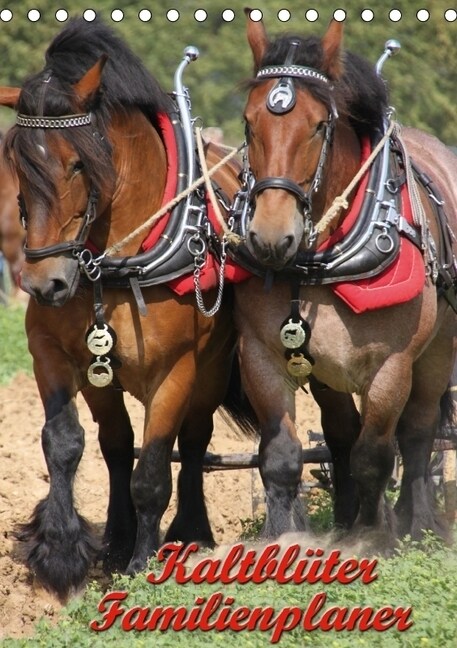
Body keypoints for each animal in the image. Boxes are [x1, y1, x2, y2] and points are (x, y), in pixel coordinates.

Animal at [0, 17, 244, 600]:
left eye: (77, 164)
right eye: (17, 162)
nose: (44, 283)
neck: (114, 266)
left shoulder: (176, 371)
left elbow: (154, 468)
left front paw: (141, 565)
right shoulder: (53, 353)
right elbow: (65, 442)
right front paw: (62, 552)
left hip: (211, 368)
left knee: (193, 443)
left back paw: (188, 534)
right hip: (103, 378)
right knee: (115, 446)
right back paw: (114, 538)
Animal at [233, 13, 456, 548]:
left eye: (319, 125)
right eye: (249, 123)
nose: (270, 236)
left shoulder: (392, 366)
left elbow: (375, 453)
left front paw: (373, 538)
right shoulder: (261, 354)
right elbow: (283, 455)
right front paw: (286, 538)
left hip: (438, 351)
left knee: (416, 432)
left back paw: (417, 522)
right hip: (327, 372)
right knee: (339, 434)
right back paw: (346, 517)